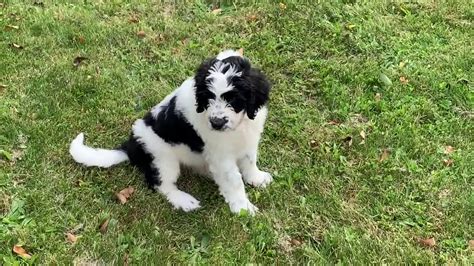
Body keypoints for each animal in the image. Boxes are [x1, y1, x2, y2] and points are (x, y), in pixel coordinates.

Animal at [69, 50, 272, 215]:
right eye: (208, 97)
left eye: (234, 99)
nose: (216, 123)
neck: (240, 125)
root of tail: (131, 145)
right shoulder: (221, 156)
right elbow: (234, 180)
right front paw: (244, 209)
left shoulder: (249, 140)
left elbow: (249, 161)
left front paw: (256, 178)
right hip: (163, 160)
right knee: (160, 184)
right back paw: (183, 200)